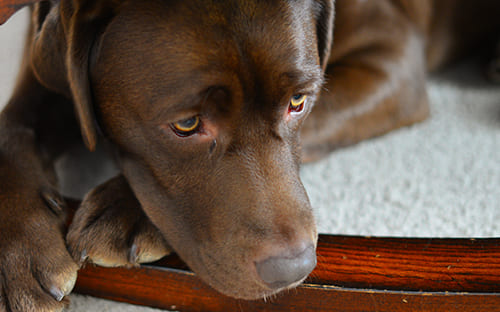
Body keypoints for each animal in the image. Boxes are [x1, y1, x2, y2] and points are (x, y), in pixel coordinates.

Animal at [0, 0, 500, 310]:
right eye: (186, 124)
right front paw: (15, 254)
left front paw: (126, 208)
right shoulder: (44, 56)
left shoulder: (391, 59)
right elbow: (12, 125)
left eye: (298, 102)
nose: (292, 270)